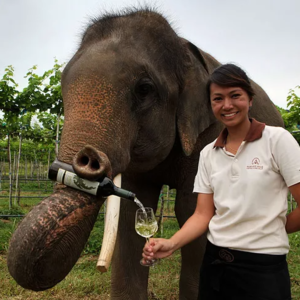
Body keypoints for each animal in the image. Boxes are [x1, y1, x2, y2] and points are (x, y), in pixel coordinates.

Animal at [7, 7, 284, 300]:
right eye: (61, 87)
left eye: (144, 89)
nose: (88, 161)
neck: (184, 48)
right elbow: (130, 215)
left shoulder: (210, 134)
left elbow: (192, 209)